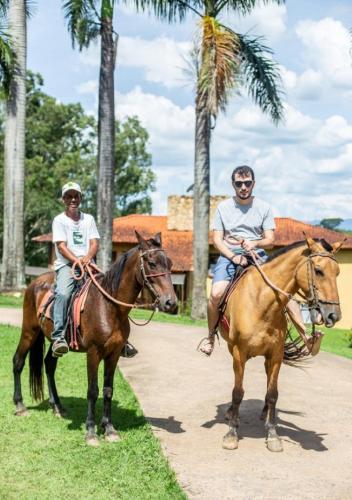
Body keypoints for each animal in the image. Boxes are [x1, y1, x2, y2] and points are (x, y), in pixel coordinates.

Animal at [12, 230, 177, 446]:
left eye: (170, 263)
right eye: (151, 263)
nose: (171, 303)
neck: (109, 307)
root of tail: (35, 283)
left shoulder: (114, 354)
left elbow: (108, 390)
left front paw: (109, 428)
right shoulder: (93, 353)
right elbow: (92, 391)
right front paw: (90, 431)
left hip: (54, 342)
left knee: (49, 365)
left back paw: (58, 407)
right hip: (29, 331)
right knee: (18, 361)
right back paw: (20, 406)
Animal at [221, 236, 342, 452]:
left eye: (337, 272)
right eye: (318, 270)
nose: (333, 315)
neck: (262, 302)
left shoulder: (275, 355)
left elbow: (272, 394)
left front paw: (272, 434)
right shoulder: (238, 353)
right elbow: (237, 392)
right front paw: (231, 433)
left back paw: (266, 414)